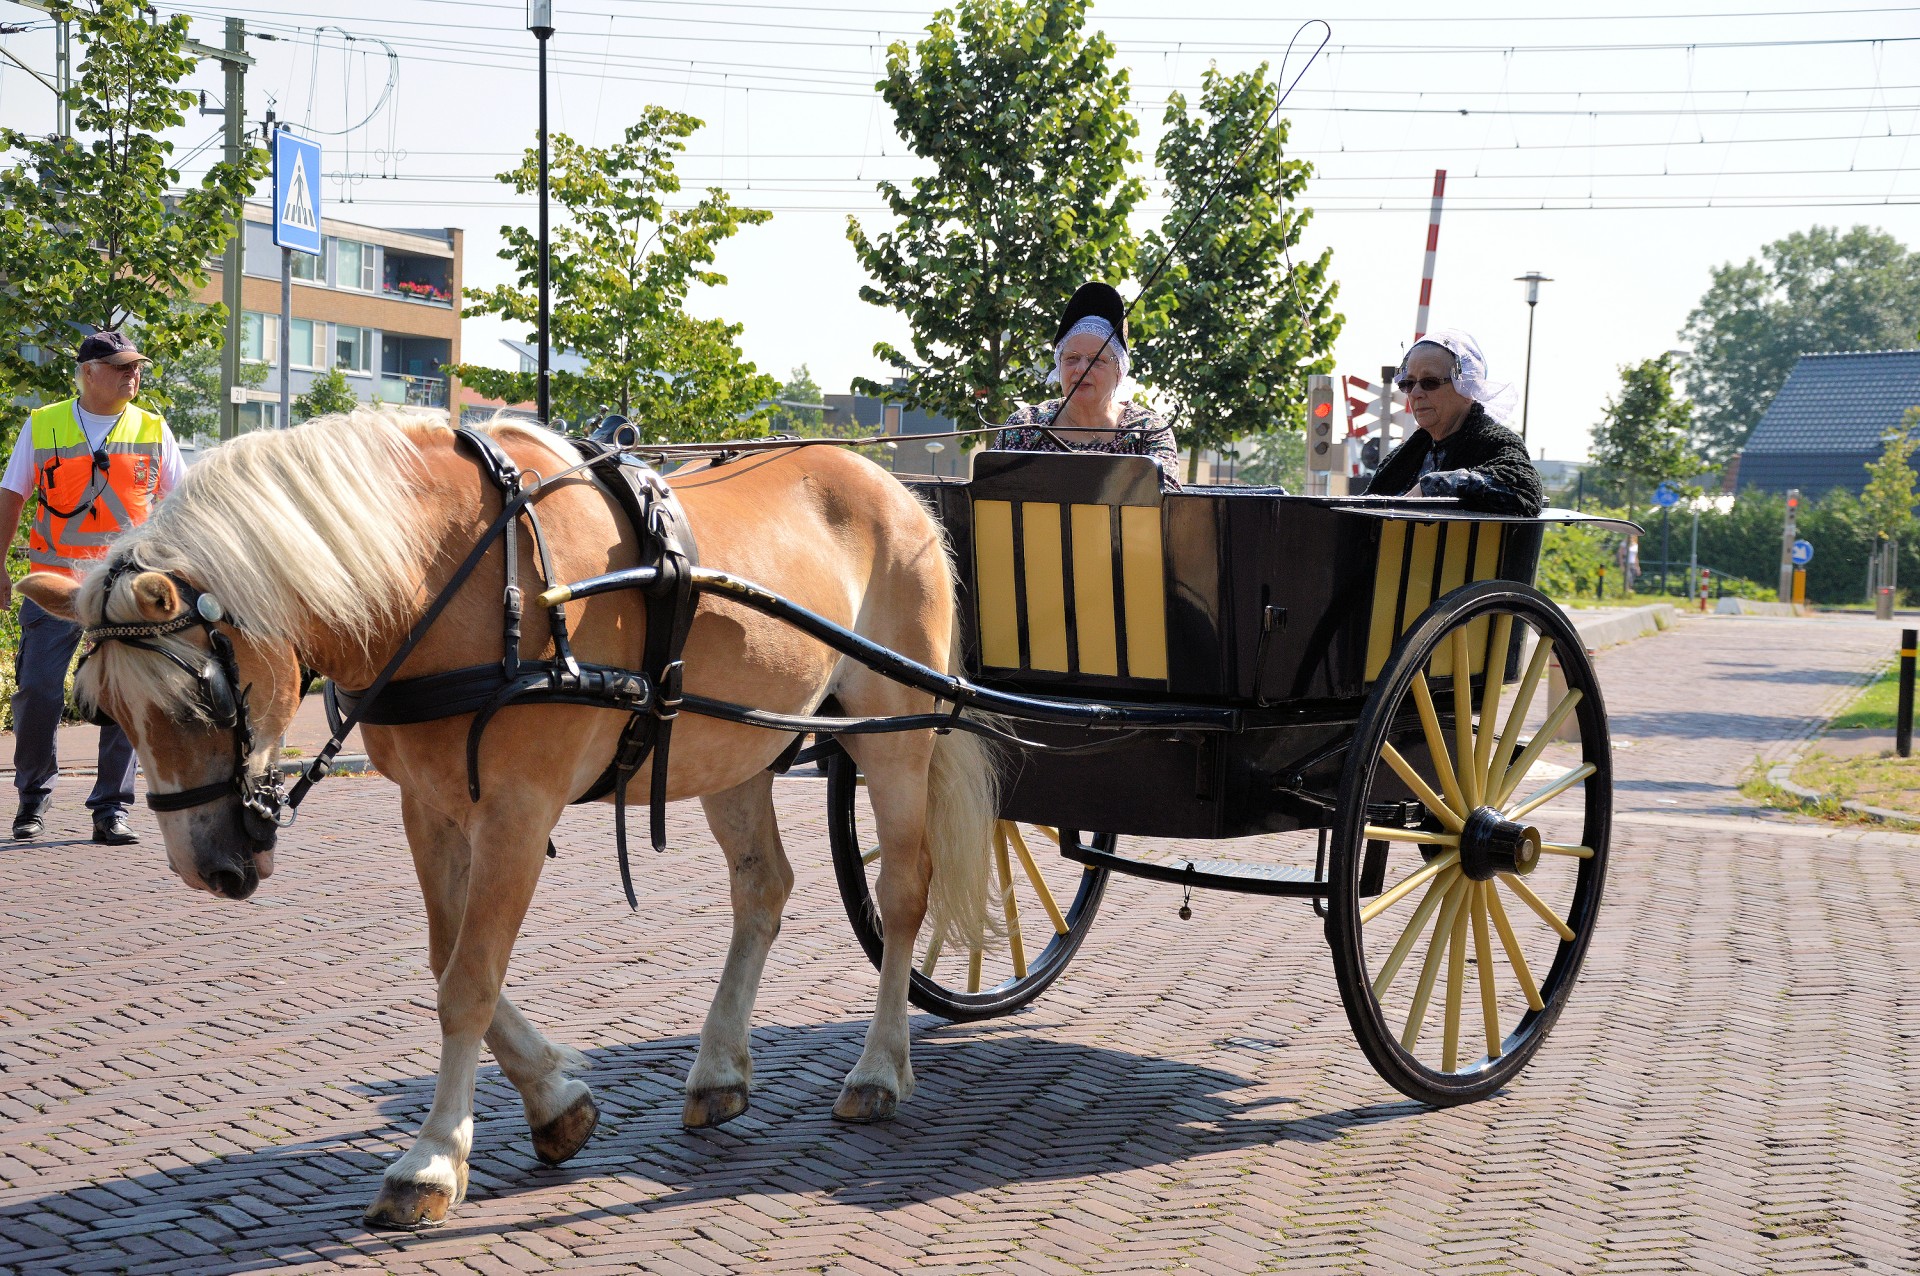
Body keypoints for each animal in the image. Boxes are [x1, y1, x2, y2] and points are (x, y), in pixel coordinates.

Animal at [18, 404, 1006, 1228]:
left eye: (200, 700)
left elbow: (469, 979)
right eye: (103, 709)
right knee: (763, 888)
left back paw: (877, 1071)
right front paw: (558, 1103)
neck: (445, 578)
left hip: (894, 734)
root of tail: (895, 489)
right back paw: (721, 1070)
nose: (210, 869)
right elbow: (450, 962)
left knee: (904, 893)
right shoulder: (431, 808)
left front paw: (428, 1162)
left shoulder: (520, 812)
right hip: (735, 750)